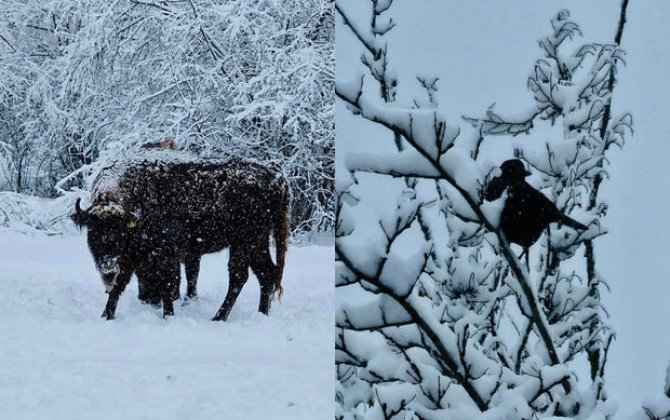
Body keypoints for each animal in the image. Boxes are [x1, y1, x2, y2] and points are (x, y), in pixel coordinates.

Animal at [72, 149, 292, 320]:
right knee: (266, 274)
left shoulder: (164, 252)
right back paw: (261, 314)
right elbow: (119, 285)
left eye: (119, 231)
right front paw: (106, 315)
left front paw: (168, 315)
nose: (107, 262)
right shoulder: (130, 257)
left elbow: (167, 282)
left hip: (244, 243)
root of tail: (278, 179)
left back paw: (218, 317)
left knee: (239, 277)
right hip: (257, 243)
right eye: (92, 230)